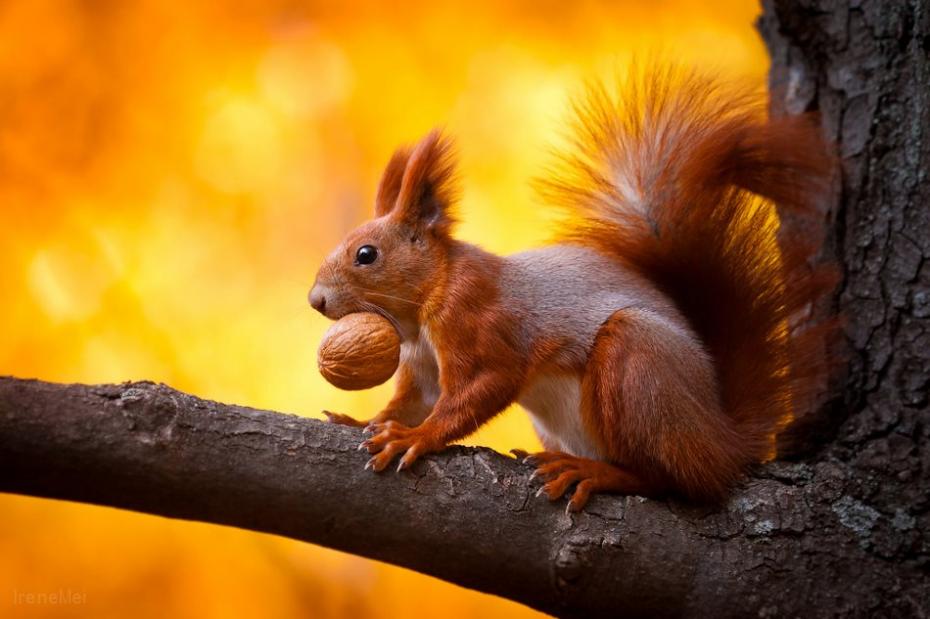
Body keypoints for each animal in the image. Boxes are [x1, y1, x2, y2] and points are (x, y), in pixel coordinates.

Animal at [306, 65, 832, 512]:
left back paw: (595, 473)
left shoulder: (477, 321)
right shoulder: (422, 366)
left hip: (640, 366)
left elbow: (480, 389)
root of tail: (722, 440)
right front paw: (368, 422)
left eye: (366, 254)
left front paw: (417, 438)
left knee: (670, 479)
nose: (316, 300)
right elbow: (412, 403)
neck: (422, 308)